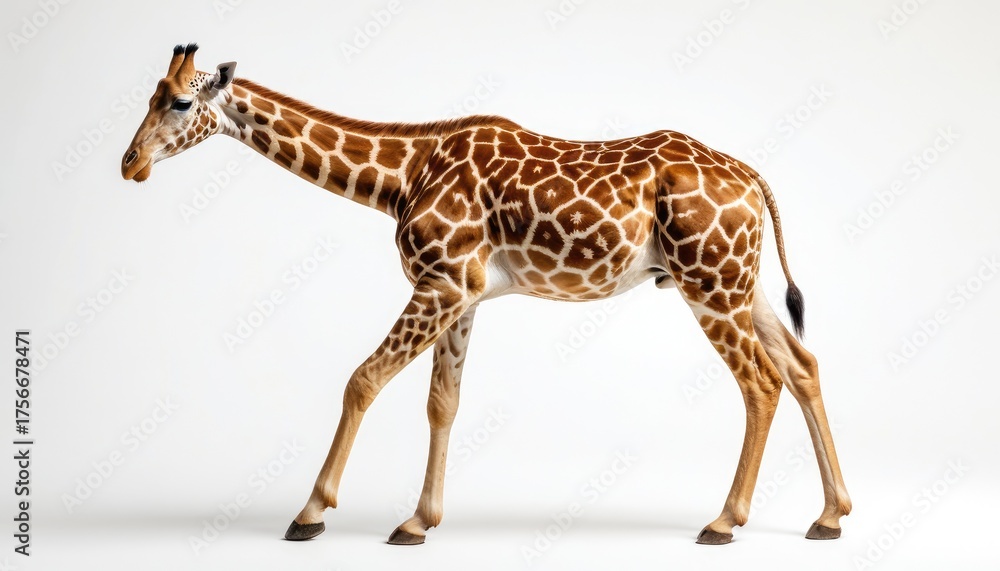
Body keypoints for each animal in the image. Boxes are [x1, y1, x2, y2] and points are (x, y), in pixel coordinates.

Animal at [122, 44, 851, 546]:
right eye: (152, 95)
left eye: (180, 102)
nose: (130, 164)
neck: (403, 173)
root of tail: (753, 178)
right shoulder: (464, 294)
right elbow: (443, 402)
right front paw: (418, 521)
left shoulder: (442, 280)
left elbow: (363, 379)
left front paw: (310, 512)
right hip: (740, 280)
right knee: (803, 365)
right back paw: (830, 515)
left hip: (708, 281)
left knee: (760, 381)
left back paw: (724, 521)